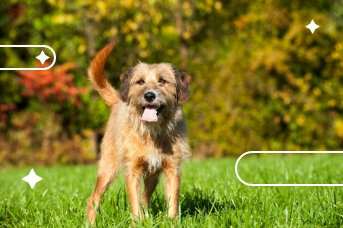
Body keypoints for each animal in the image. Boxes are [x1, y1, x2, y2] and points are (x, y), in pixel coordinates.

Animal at [85, 41, 192, 224]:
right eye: (140, 82)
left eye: (162, 81)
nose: (149, 95)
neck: (152, 133)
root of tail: (117, 102)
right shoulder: (132, 170)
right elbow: (134, 203)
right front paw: (138, 222)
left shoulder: (172, 169)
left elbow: (173, 202)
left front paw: (171, 222)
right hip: (107, 169)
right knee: (93, 198)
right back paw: (89, 223)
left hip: (153, 177)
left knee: (144, 197)